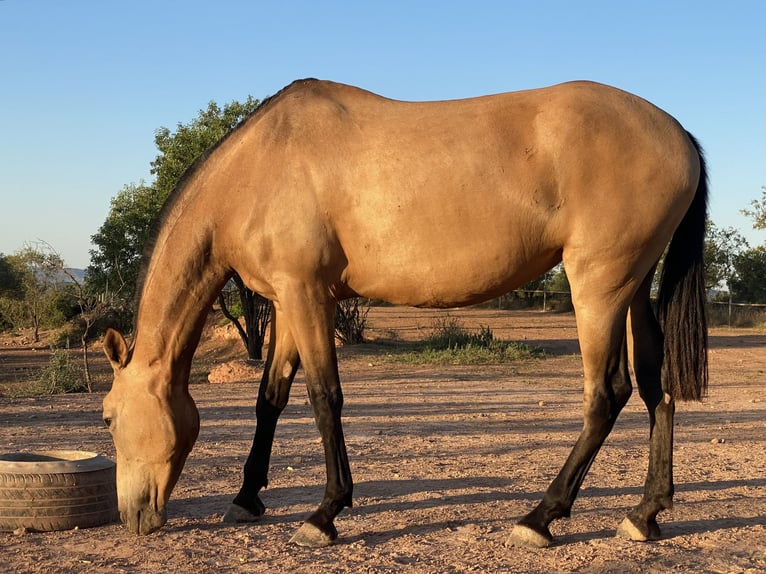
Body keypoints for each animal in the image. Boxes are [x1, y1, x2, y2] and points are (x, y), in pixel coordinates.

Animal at [100, 79, 708, 552]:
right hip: (633, 288)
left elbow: (324, 399)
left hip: (598, 288)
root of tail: (678, 132)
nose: (132, 517)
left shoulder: (306, 296)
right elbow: (269, 398)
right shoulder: (287, 301)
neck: (259, 167)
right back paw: (644, 514)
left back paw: (540, 517)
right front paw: (247, 498)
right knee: (655, 389)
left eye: (106, 418)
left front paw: (325, 514)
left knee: (607, 395)